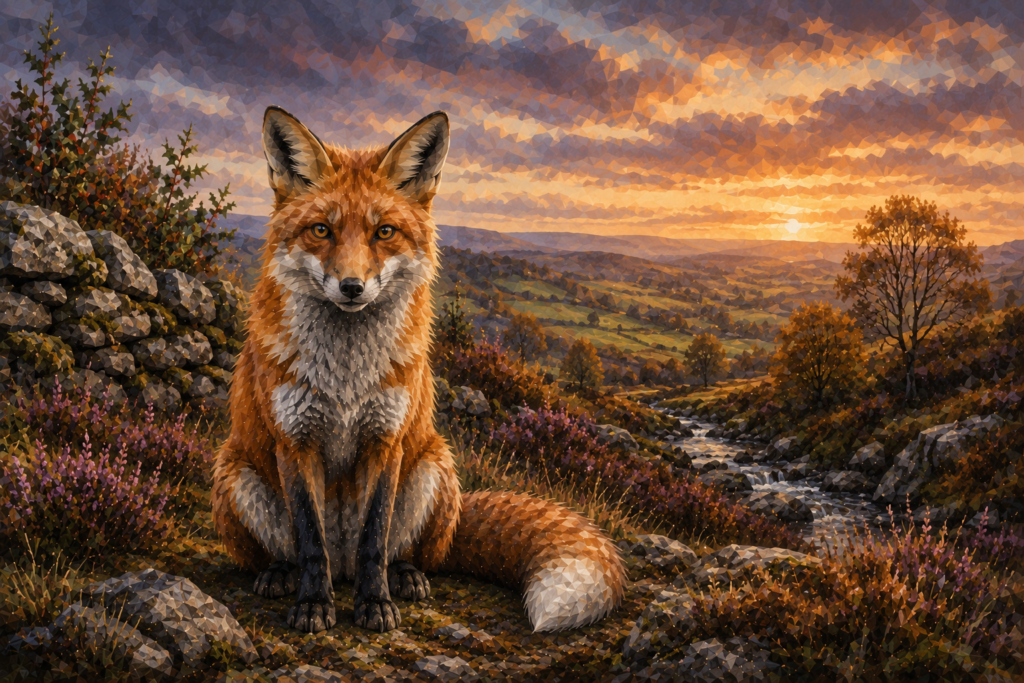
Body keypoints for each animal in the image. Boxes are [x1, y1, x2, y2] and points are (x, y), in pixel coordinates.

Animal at [211, 106, 626, 634]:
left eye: (384, 231)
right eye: (321, 230)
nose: (351, 286)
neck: (347, 377)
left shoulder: (386, 438)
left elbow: (374, 538)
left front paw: (375, 605)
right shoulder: (294, 439)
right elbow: (310, 542)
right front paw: (313, 605)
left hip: (433, 463)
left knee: (402, 553)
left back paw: (404, 577)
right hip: (235, 471)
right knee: (292, 553)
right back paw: (281, 575)